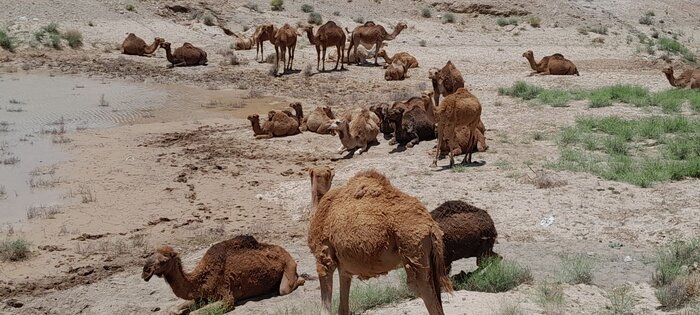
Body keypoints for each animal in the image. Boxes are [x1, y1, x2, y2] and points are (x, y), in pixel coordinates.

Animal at [142, 236, 304, 314]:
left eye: (163, 260)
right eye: (150, 255)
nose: (145, 272)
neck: (202, 279)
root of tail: (285, 251)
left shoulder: (226, 295)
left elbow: (196, 313)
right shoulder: (202, 296)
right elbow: (172, 310)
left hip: (289, 265)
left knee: (284, 289)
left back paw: (301, 279)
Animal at [308, 168, 452, 315]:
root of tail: (431, 226)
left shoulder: (325, 259)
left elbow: (325, 309)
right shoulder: (344, 269)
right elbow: (343, 308)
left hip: (413, 249)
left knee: (424, 292)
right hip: (429, 259)